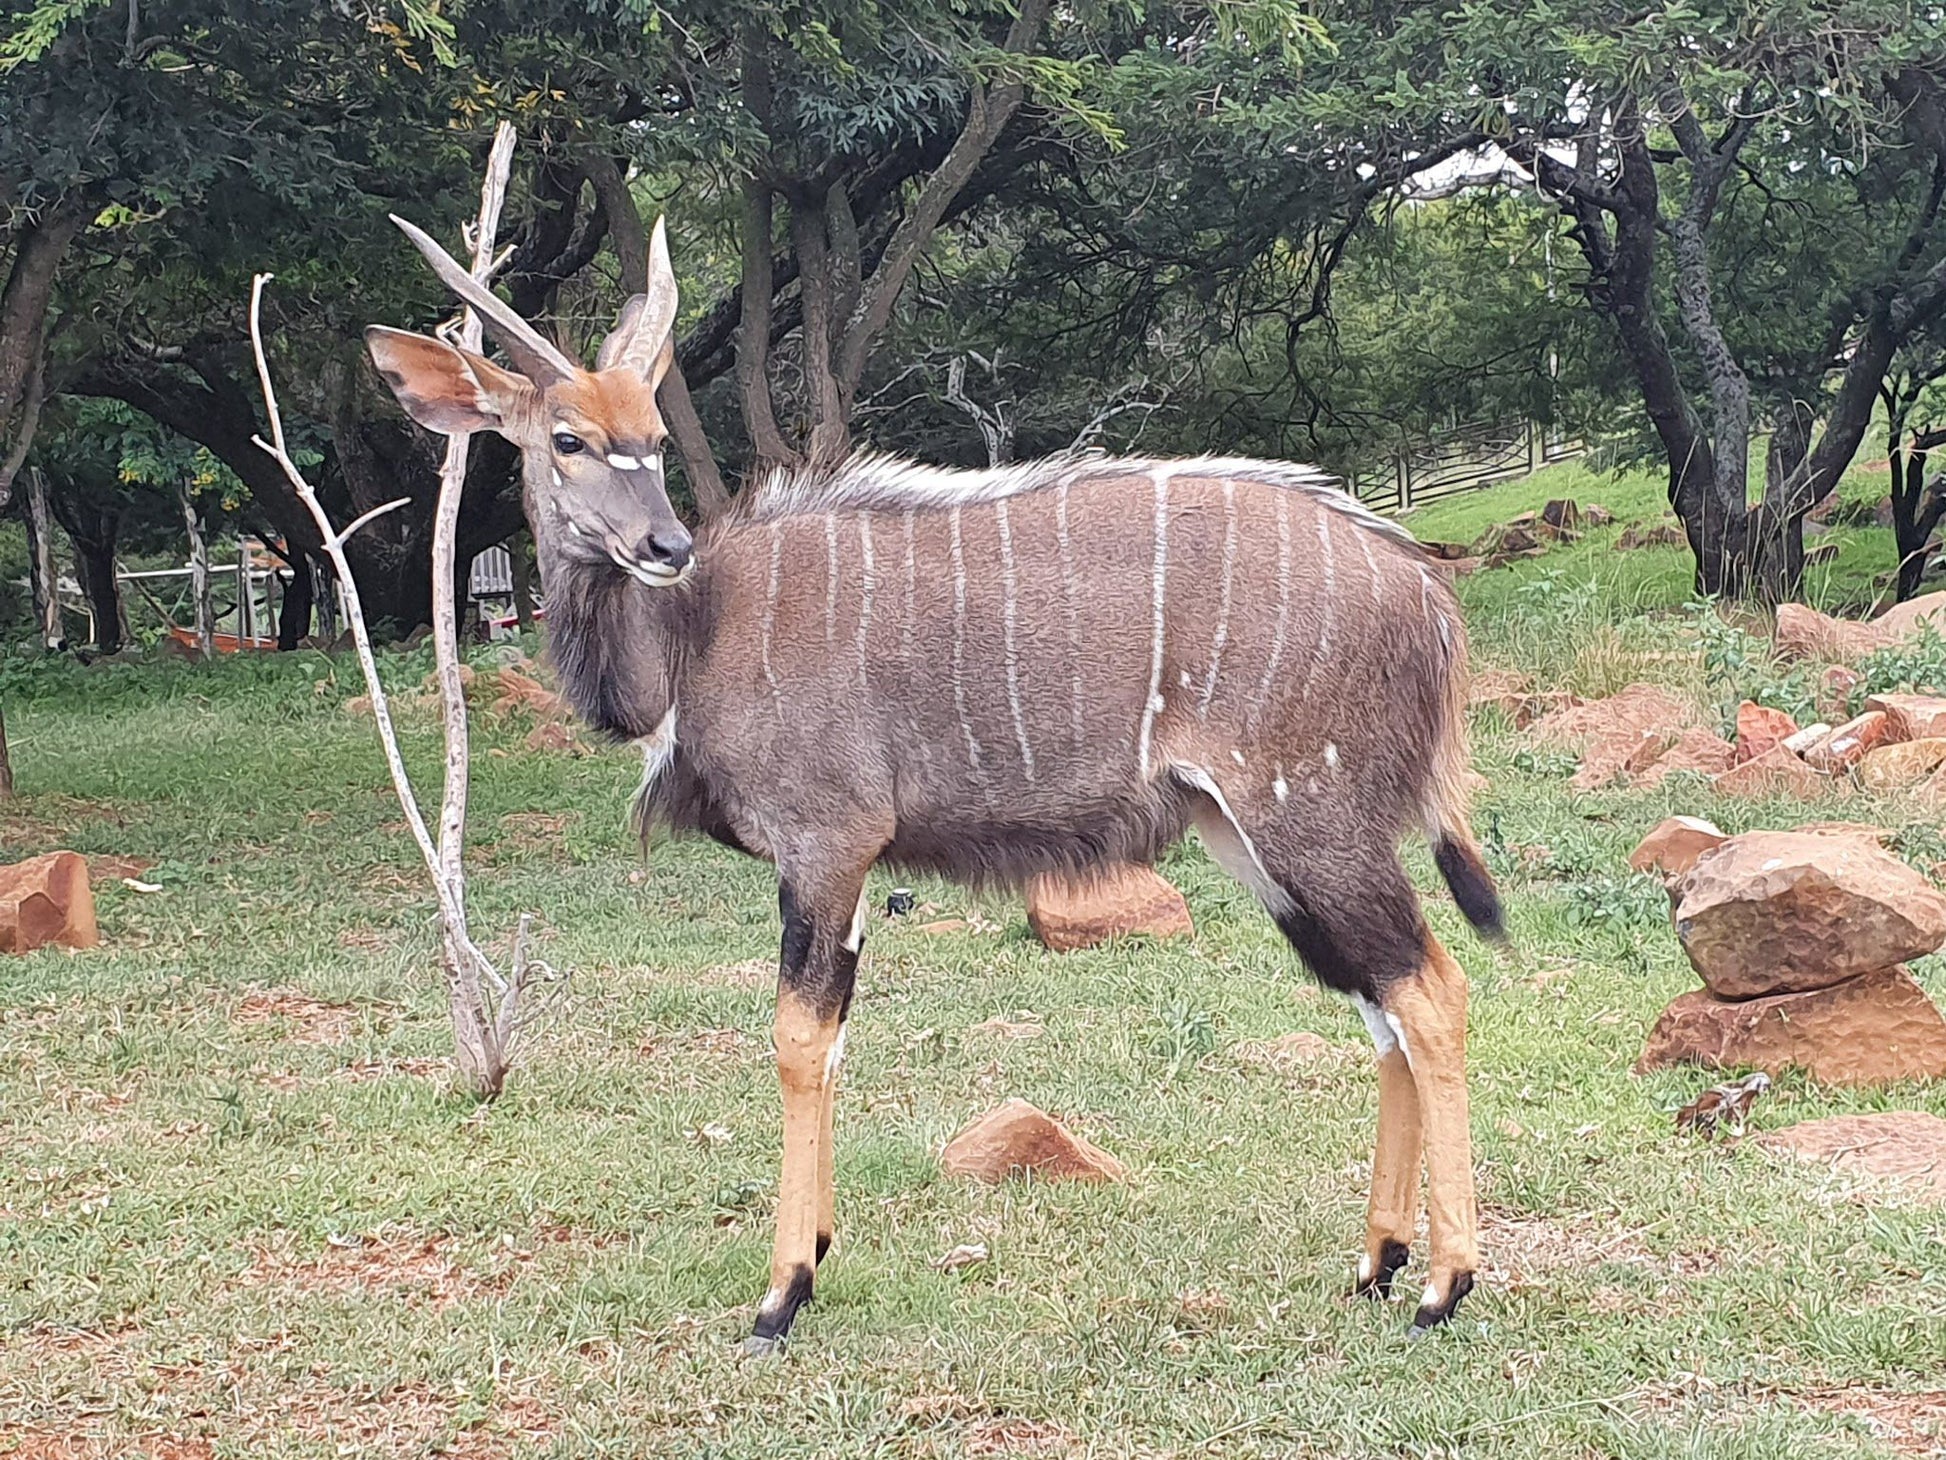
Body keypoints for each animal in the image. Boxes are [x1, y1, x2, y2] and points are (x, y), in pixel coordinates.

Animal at [371, 214, 1510, 1347]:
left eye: (650, 436)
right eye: (567, 439)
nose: (664, 543)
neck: (694, 634)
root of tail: (1424, 591)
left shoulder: (824, 842)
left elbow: (796, 1039)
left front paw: (781, 1292)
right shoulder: (850, 867)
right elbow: (834, 1038)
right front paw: (819, 1250)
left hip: (1310, 819)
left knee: (1431, 989)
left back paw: (1442, 1284)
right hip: (1254, 838)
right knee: (1379, 1002)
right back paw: (1374, 1260)